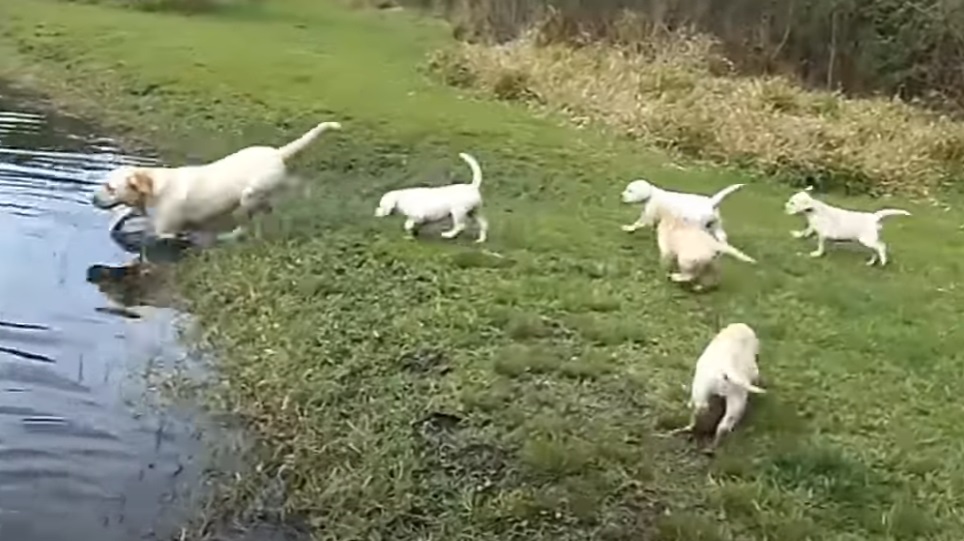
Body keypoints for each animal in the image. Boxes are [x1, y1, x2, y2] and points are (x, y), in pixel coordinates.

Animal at [87, 123, 342, 242]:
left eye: (109, 188)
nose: (92, 199)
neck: (154, 189)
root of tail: (277, 153)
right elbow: (124, 216)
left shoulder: (165, 231)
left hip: (248, 196)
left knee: (248, 222)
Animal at [616, 178, 744, 242]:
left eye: (630, 191)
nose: (621, 195)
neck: (652, 194)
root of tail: (711, 202)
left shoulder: (648, 215)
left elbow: (639, 223)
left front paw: (629, 228)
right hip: (716, 224)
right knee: (722, 236)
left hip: (699, 224)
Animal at [784, 186, 912, 266]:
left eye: (792, 203)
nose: (785, 206)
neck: (813, 210)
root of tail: (874, 217)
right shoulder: (813, 227)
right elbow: (805, 231)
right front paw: (797, 235)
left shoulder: (822, 234)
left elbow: (820, 245)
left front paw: (817, 254)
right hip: (869, 241)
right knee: (875, 250)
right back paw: (871, 262)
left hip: (867, 240)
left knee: (881, 247)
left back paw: (883, 261)